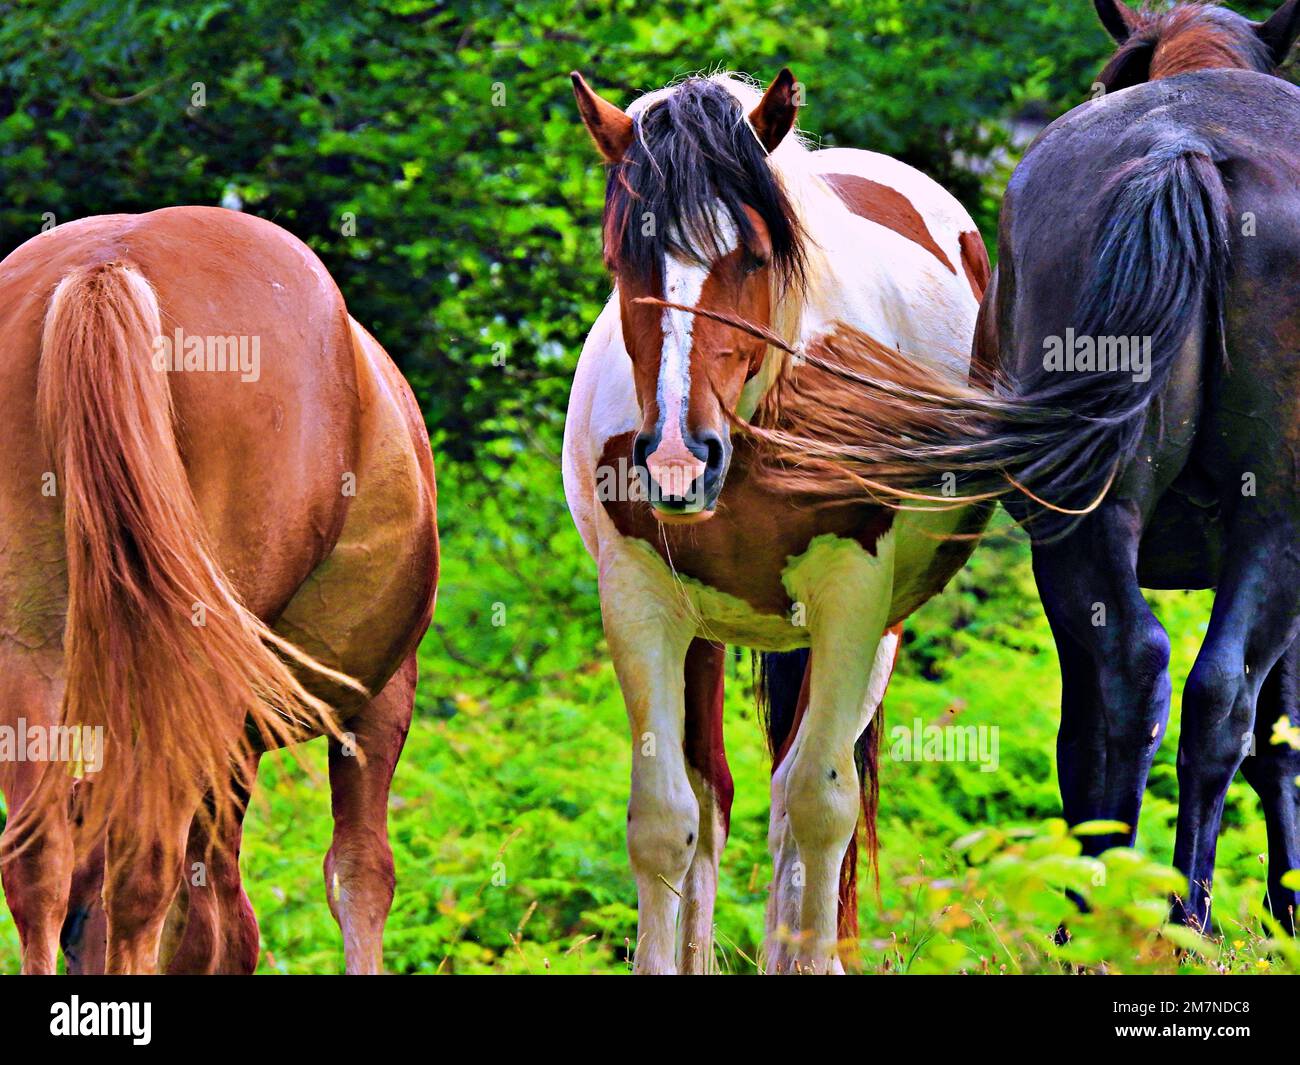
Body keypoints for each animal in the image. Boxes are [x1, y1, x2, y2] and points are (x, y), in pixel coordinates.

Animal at [0, 201, 439, 972]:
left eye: (82, 934)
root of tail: (108, 265)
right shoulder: (377, 700)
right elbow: (347, 878)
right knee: (147, 866)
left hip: (29, 652)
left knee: (37, 862)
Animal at [561, 68, 993, 972]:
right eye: (622, 260)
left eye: (754, 256)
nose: (677, 459)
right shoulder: (640, 602)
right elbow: (667, 821)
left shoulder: (852, 602)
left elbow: (821, 808)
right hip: (706, 633)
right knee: (716, 797)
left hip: (875, 636)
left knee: (801, 807)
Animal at [977, 0, 1300, 931]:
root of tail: (1182, 150)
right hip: (1270, 517)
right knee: (1205, 694)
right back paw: (1165, 913)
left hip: (1090, 516)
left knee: (1147, 676)